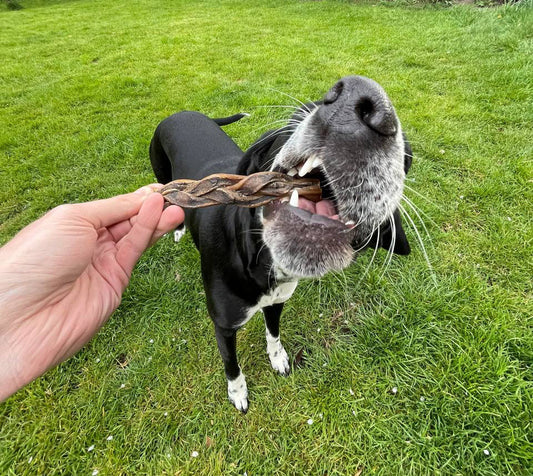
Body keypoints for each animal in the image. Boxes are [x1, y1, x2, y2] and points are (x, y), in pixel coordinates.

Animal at [150, 75, 412, 412]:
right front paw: (238, 393)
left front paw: (278, 359)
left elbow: (273, 333)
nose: (359, 102)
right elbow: (231, 365)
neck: (262, 265)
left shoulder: (277, 303)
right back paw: (179, 227)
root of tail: (182, 113)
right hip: (162, 175)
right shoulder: (224, 326)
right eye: (298, 114)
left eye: (407, 158)